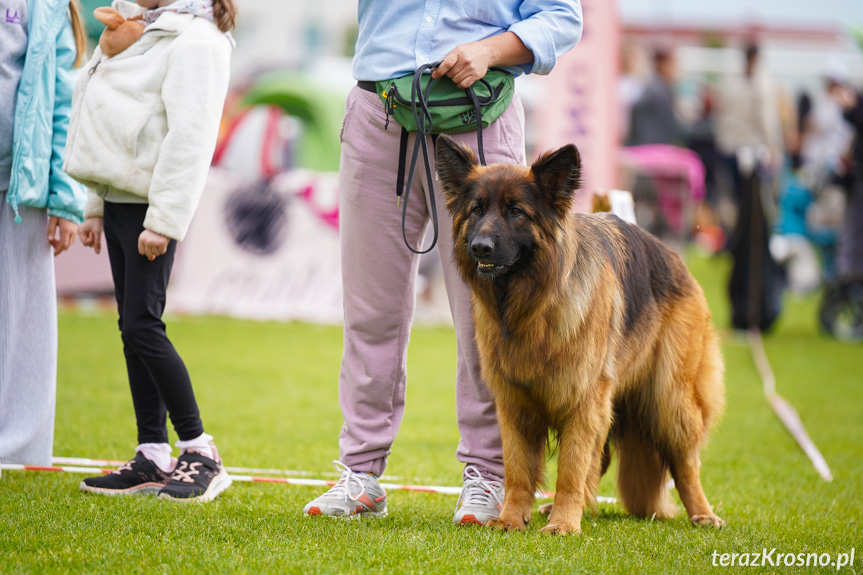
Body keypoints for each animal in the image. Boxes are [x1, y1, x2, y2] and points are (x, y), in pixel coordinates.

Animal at [436, 134, 724, 536]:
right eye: (476, 210)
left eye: (515, 212)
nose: (480, 247)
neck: (533, 306)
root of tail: (673, 256)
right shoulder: (515, 405)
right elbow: (518, 472)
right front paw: (511, 519)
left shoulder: (583, 400)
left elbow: (570, 471)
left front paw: (563, 525)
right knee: (598, 461)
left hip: (670, 399)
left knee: (684, 464)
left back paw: (702, 513)